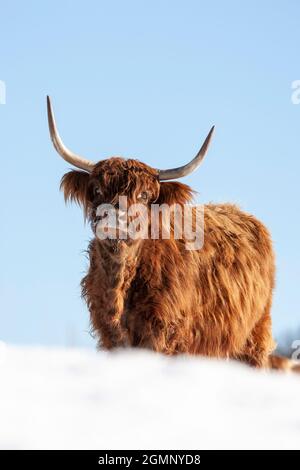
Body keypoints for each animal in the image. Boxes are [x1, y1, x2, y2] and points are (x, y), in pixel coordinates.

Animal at [48, 94, 290, 368]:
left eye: (143, 195)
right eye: (97, 190)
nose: (114, 217)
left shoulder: (165, 337)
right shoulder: (110, 336)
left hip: (254, 338)